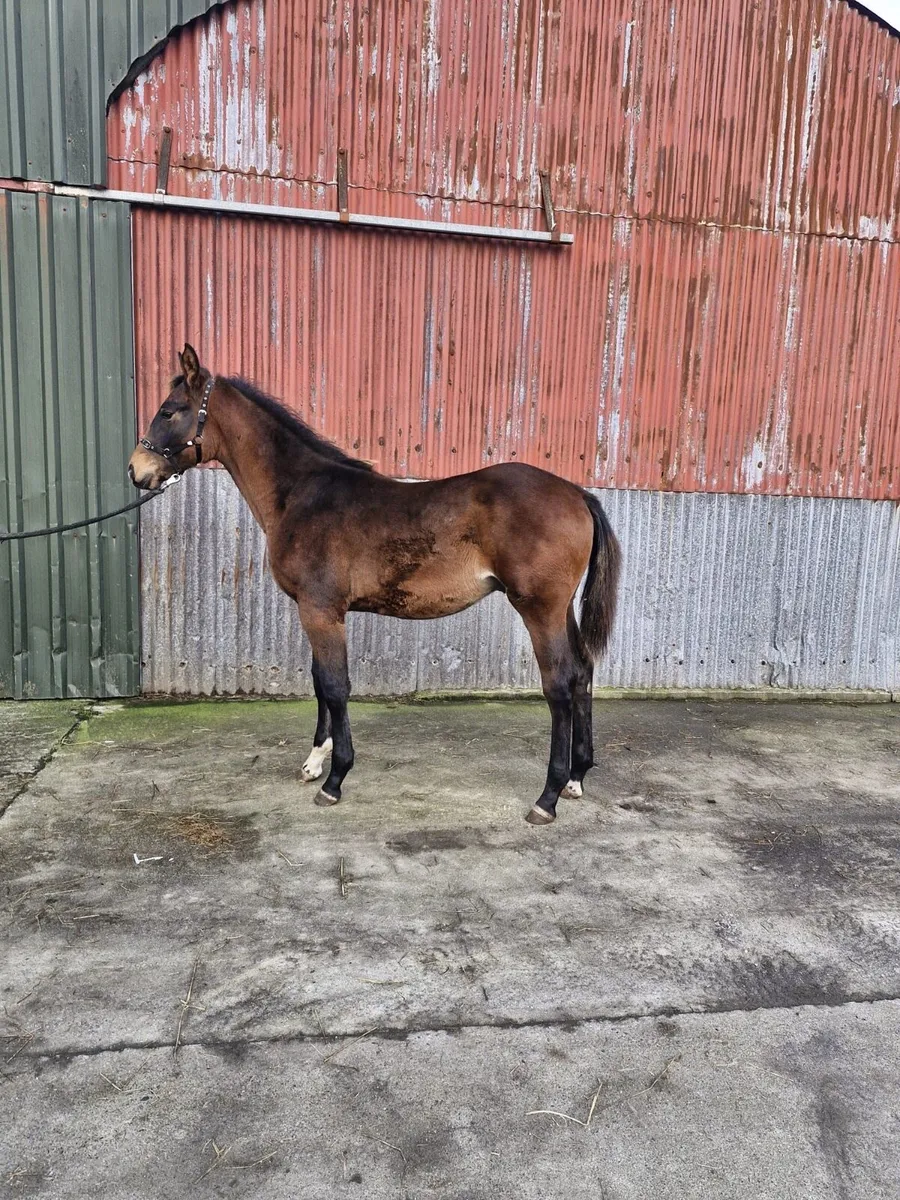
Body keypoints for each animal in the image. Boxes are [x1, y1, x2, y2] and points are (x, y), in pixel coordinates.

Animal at [129, 345, 621, 825]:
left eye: (169, 411)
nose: (137, 470)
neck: (303, 494)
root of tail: (579, 494)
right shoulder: (317, 610)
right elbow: (319, 682)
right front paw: (314, 762)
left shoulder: (320, 609)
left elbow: (335, 685)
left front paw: (335, 779)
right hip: (561, 609)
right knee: (582, 673)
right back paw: (576, 777)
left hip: (539, 608)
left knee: (559, 685)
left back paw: (547, 798)